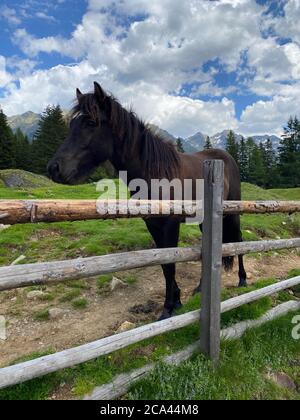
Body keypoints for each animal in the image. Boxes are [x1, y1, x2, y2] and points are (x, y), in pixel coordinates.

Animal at [48, 81, 247, 318]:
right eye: (71, 124)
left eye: (90, 122)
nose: (54, 169)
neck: (155, 173)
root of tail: (226, 158)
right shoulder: (152, 225)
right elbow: (163, 263)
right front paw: (176, 300)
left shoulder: (170, 225)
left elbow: (170, 262)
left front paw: (168, 308)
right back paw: (200, 287)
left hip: (233, 212)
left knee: (239, 240)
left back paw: (243, 280)